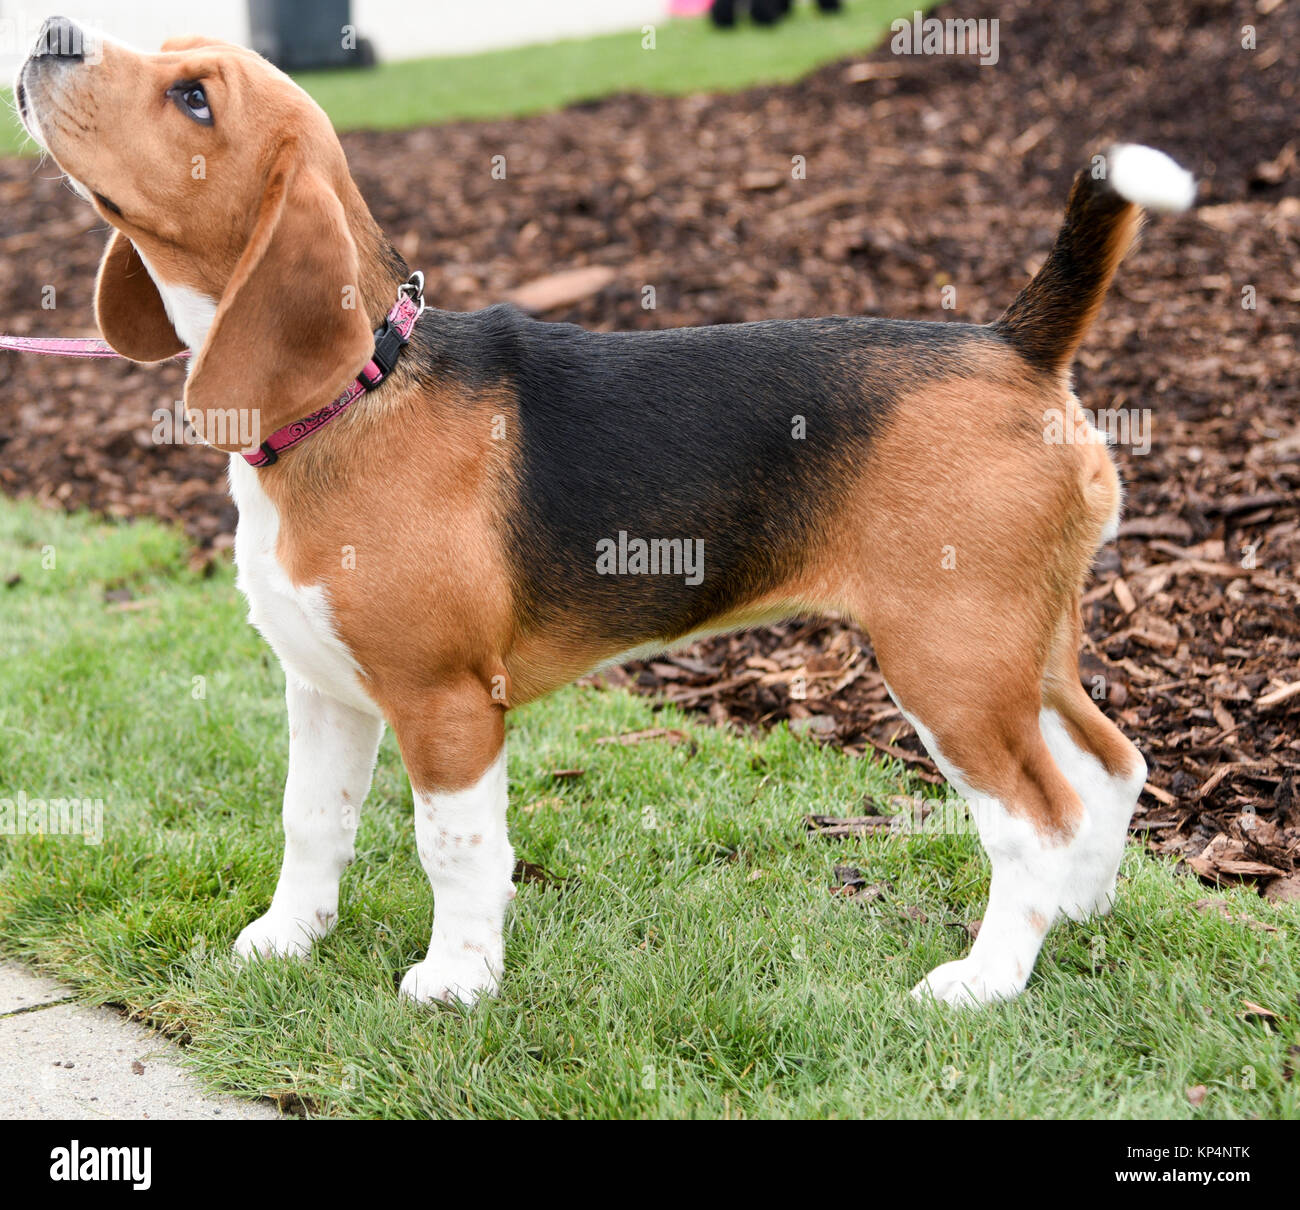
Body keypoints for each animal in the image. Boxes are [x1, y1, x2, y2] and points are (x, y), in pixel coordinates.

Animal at [17, 18, 1196, 1008]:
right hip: (1027, 647)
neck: (358, 388)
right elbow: (311, 823)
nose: (52, 31)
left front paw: (457, 980)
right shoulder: (324, 687)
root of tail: (1014, 342)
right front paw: (285, 941)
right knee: (1109, 767)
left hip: (949, 658)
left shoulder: (447, 703)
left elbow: (455, 849)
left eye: (195, 100)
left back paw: (986, 979)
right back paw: (1077, 913)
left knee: (1035, 815)